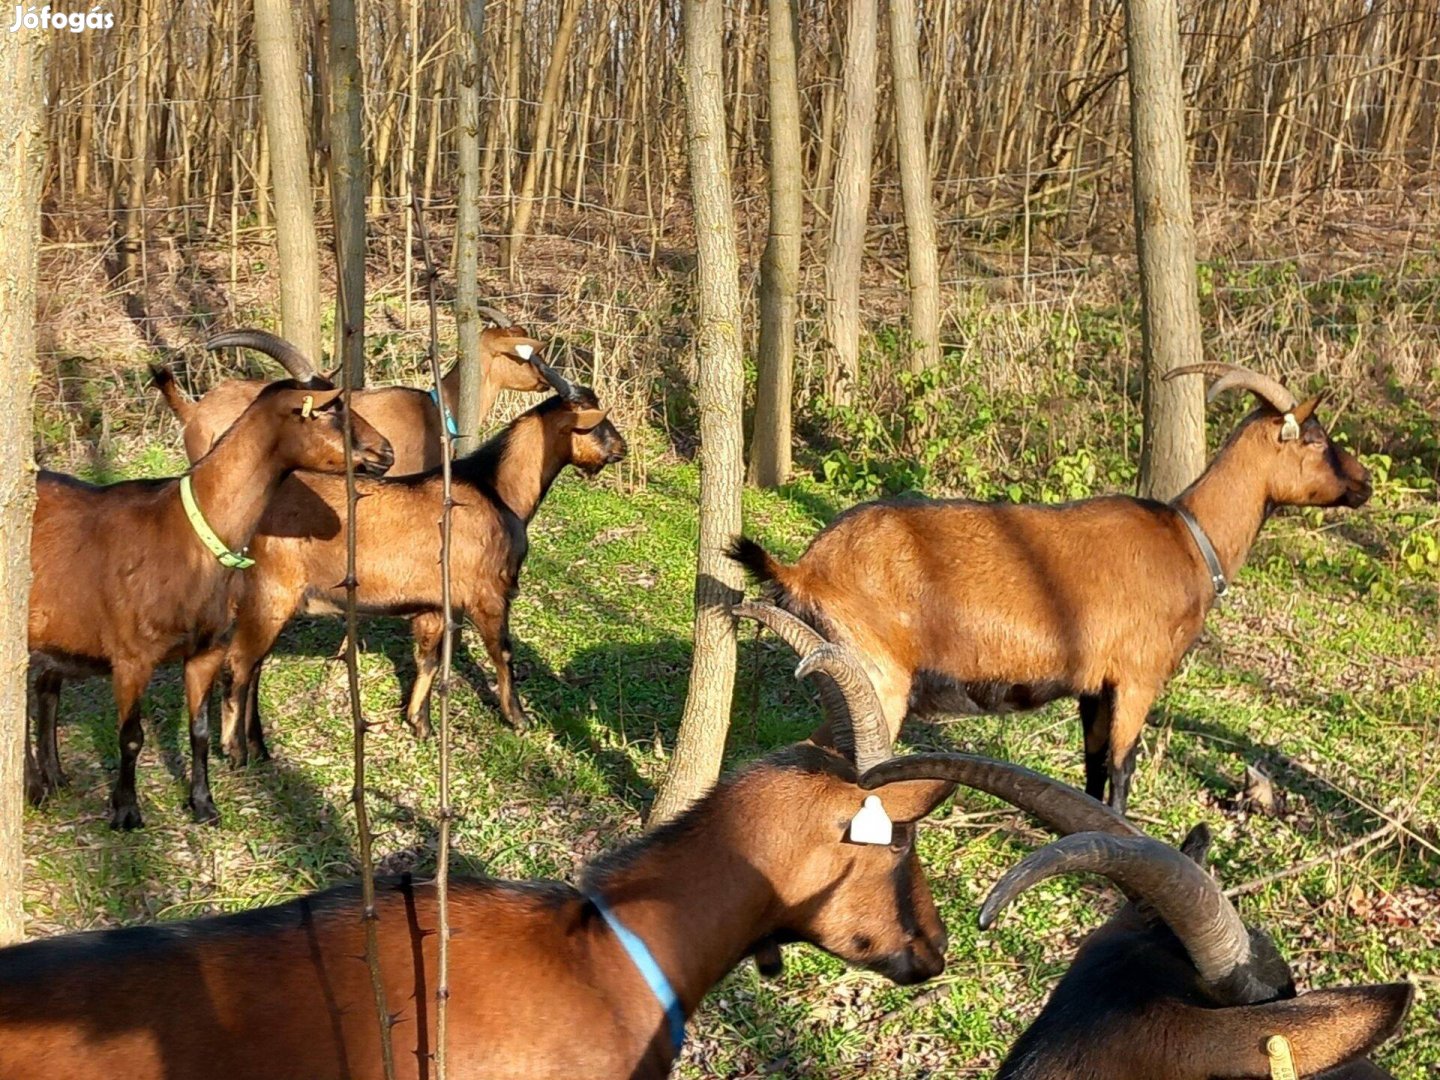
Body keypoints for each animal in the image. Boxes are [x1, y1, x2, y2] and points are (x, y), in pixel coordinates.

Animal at [29, 374, 394, 829]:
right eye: (330, 409)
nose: (386, 451)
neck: (189, 532)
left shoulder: (206, 649)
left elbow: (198, 729)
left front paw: (203, 804)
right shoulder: (131, 657)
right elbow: (130, 737)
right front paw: (127, 811)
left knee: (45, 689)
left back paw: (54, 779)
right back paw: (37, 787)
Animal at [221, 355, 627, 771]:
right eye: (596, 421)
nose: (621, 448)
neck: (495, 487)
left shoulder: (433, 604)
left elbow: (428, 658)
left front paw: (420, 722)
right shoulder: (489, 593)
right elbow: (503, 651)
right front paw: (518, 718)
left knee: (252, 666)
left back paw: (257, 747)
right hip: (272, 593)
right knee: (238, 663)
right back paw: (235, 751)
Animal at [731, 364, 1370, 812]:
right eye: (1316, 439)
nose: (1364, 483)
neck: (1190, 540)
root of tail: (804, 567)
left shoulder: (1095, 685)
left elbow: (1093, 765)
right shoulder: (1138, 676)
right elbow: (1122, 767)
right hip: (873, 673)